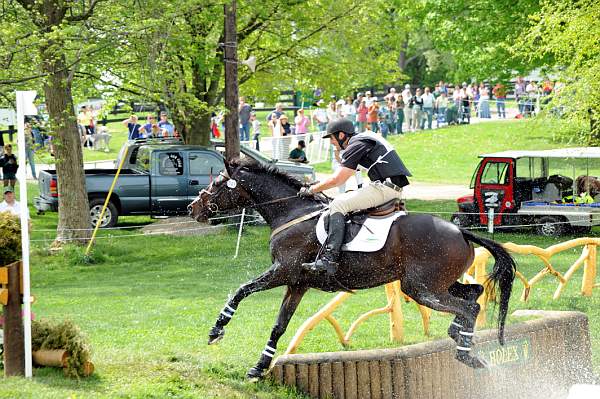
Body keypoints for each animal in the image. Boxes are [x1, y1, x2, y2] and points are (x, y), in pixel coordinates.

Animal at [189, 159, 516, 382]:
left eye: (217, 184)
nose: (193, 208)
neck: (291, 211)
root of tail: (461, 232)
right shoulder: (297, 283)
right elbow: (279, 325)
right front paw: (259, 367)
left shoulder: (282, 270)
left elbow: (241, 290)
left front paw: (216, 330)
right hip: (436, 284)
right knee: (473, 294)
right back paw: (460, 337)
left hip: (421, 288)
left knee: (468, 306)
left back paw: (464, 351)